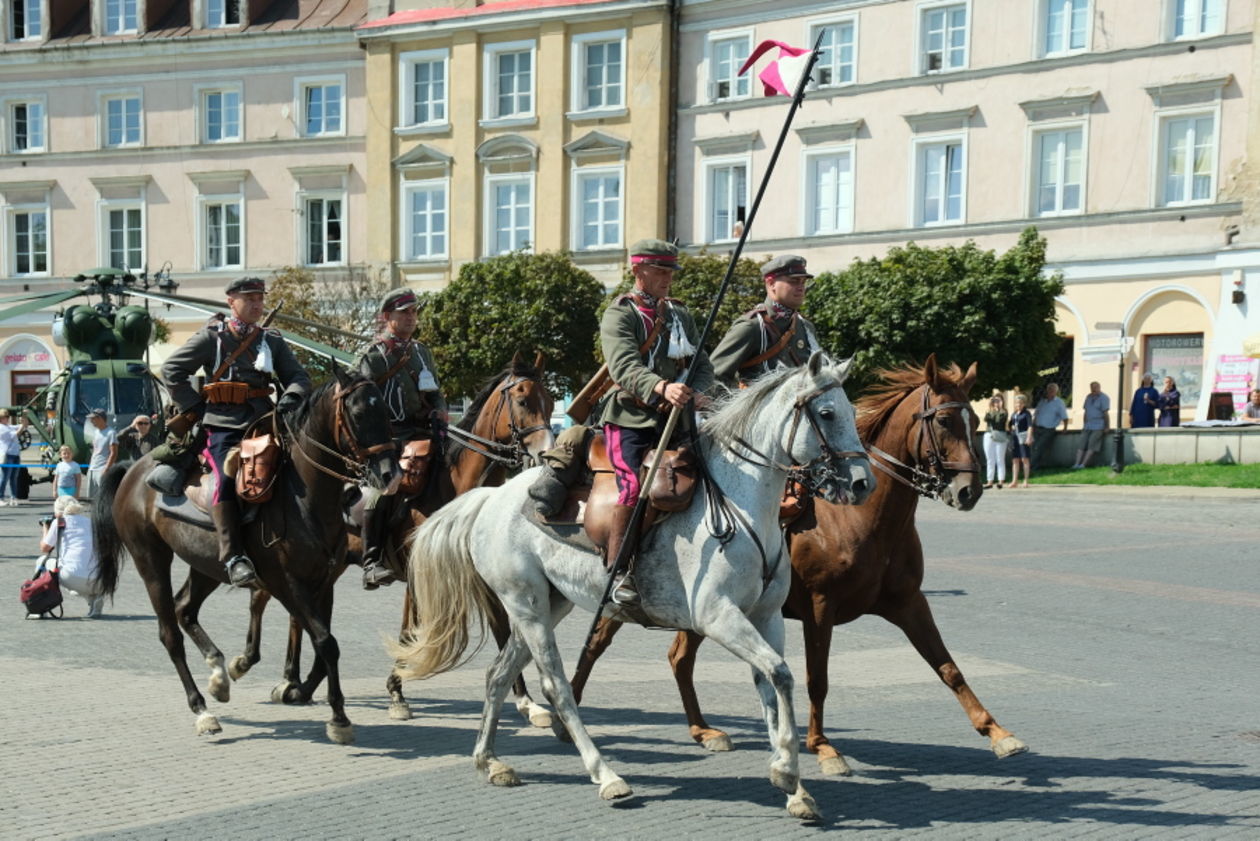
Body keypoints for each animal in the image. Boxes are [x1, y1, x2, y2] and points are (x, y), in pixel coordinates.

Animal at [93, 368, 398, 741]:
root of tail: (134, 470)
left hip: (207, 565)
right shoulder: (287, 584)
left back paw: (218, 675)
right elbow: (325, 641)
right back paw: (202, 709)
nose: (389, 473)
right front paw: (338, 717)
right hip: (151, 561)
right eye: (358, 413)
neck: (303, 498)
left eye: (385, 411)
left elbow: (325, 644)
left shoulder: (324, 583)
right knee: (170, 634)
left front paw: (321, 703)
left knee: (185, 609)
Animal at [233, 353, 556, 726]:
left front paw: (527, 701)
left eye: (550, 401)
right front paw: (396, 691)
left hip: (325, 567)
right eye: (522, 400)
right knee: (264, 600)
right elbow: (409, 631)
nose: (545, 455)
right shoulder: (416, 574)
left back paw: (301, 683)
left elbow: (503, 627)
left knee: (300, 615)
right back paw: (269, 672)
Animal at [393, 353, 876, 817]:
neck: (740, 505)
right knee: (556, 687)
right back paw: (606, 775)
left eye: (852, 410)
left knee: (497, 675)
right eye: (827, 413)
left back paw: (490, 761)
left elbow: (773, 684)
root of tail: (492, 496)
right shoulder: (719, 617)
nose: (862, 483)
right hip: (526, 606)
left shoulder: (766, 616)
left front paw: (794, 787)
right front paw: (786, 771)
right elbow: (780, 673)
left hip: (548, 603)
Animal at [572, 353, 1023, 771]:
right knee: (595, 645)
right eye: (944, 421)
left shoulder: (909, 603)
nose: (968, 491)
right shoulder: (820, 608)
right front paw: (822, 746)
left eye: (974, 418)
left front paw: (997, 731)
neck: (861, 520)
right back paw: (568, 707)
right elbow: (817, 678)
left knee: (679, 658)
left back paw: (702, 730)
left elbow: (947, 666)